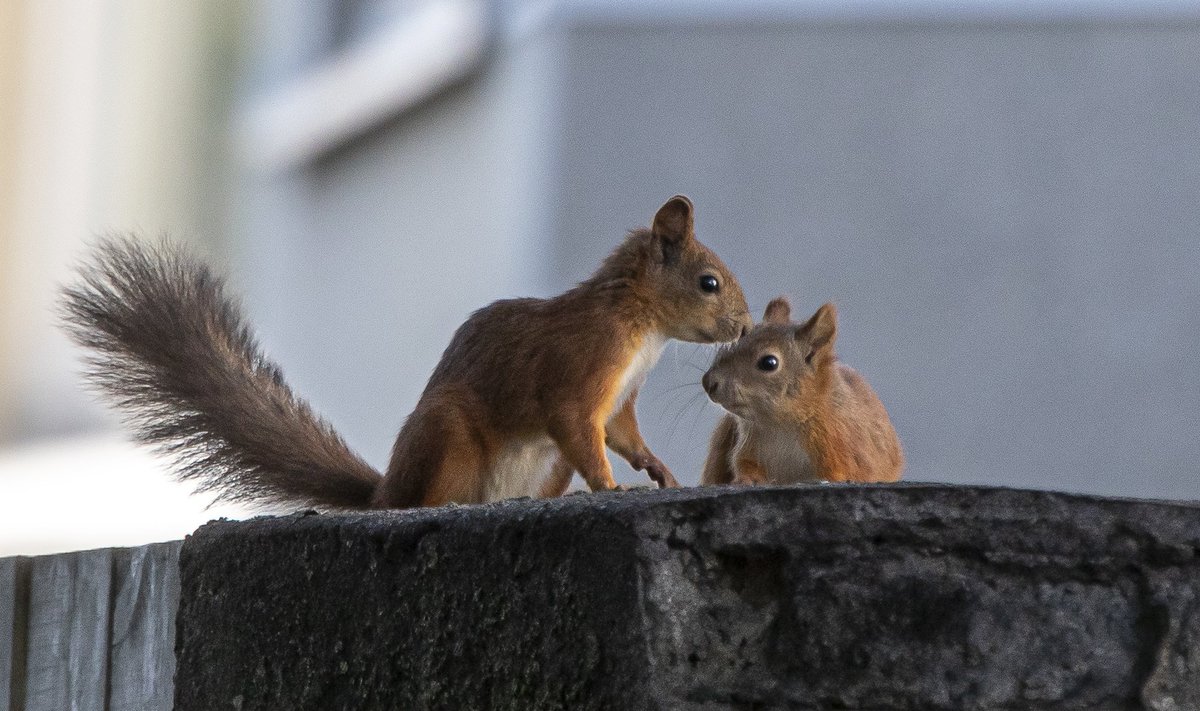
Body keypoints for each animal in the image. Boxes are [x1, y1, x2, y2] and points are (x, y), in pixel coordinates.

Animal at [63, 192, 748, 509]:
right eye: (709, 283)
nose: (743, 326)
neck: (639, 326)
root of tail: (384, 493)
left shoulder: (620, 400)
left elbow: (622, 434)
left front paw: (657, 471)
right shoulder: (578, 374)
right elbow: (581, 427)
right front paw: (610, 487)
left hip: (541, 465)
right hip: (448, 436)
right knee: (431, 498)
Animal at [700, 296, 902, 485]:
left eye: (769, 363)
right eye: (728, 347)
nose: (709, 382)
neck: (780, 425)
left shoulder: (841, 448)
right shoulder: (748, 446)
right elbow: (747, 466)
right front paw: (747, 480)